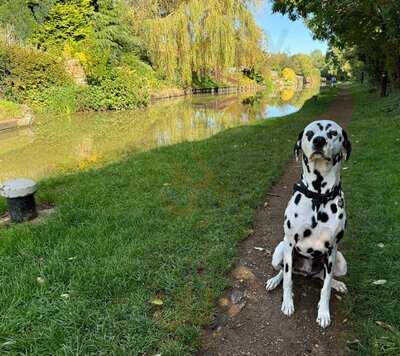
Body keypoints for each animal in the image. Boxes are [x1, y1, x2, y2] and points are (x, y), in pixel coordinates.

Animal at [268, 119, 352, 328]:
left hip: (341, 262)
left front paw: (323, 312)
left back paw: (337, 284)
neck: (318, 197)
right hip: (279, 252)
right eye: (309, 134)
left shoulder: (331, 249)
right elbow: (288, 279)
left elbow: (326, 286)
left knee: (324, 277)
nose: (319, 141)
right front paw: (287, 303)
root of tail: (305, 273)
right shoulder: (290, 244)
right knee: (283, 271)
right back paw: (274, 280)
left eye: (333, 133)